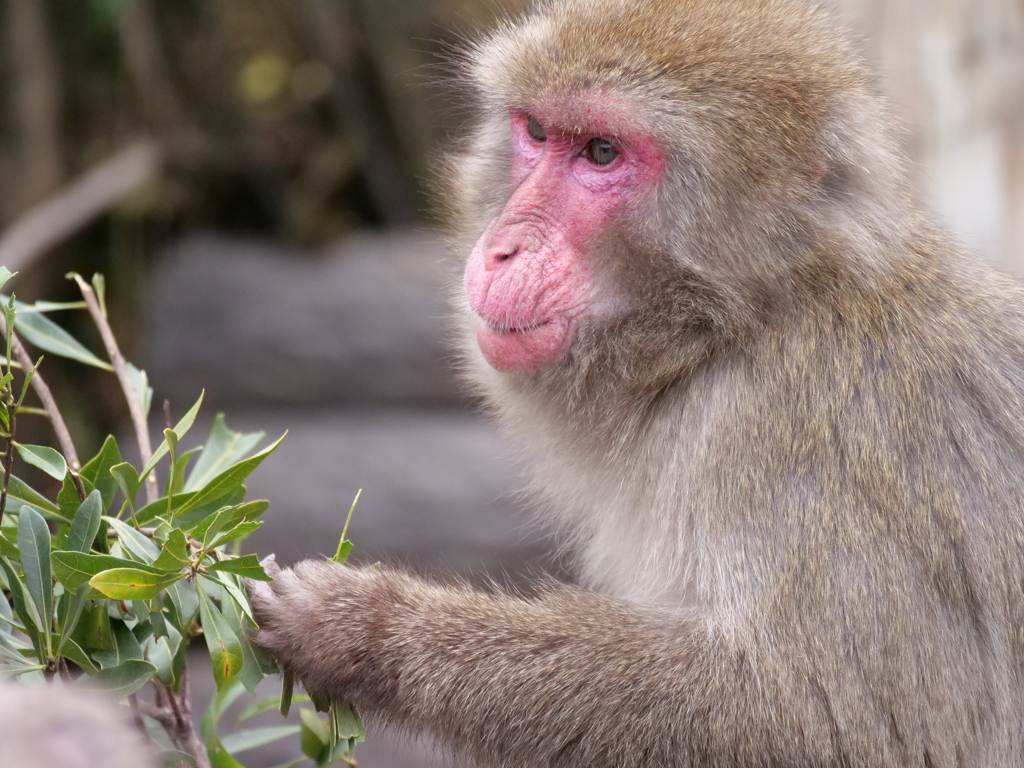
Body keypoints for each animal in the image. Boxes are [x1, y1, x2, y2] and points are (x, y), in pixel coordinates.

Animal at [247, 0, 1024, 765]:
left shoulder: (809, 434)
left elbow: (822, 722)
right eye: (536, 132)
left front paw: (366, 630)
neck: (740, 327)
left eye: (601, 152)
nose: (502, 248)